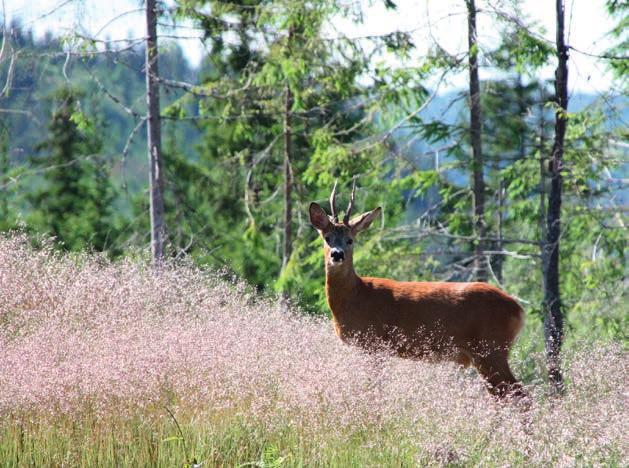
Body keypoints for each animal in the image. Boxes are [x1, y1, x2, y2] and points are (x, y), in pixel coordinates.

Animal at [310, 181, 524, 396]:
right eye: (327, 238)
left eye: (350, 240)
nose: (337, 254)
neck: (355, 296)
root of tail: (518, 309)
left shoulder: (375, 343)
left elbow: (373, 386)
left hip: (490, 349)